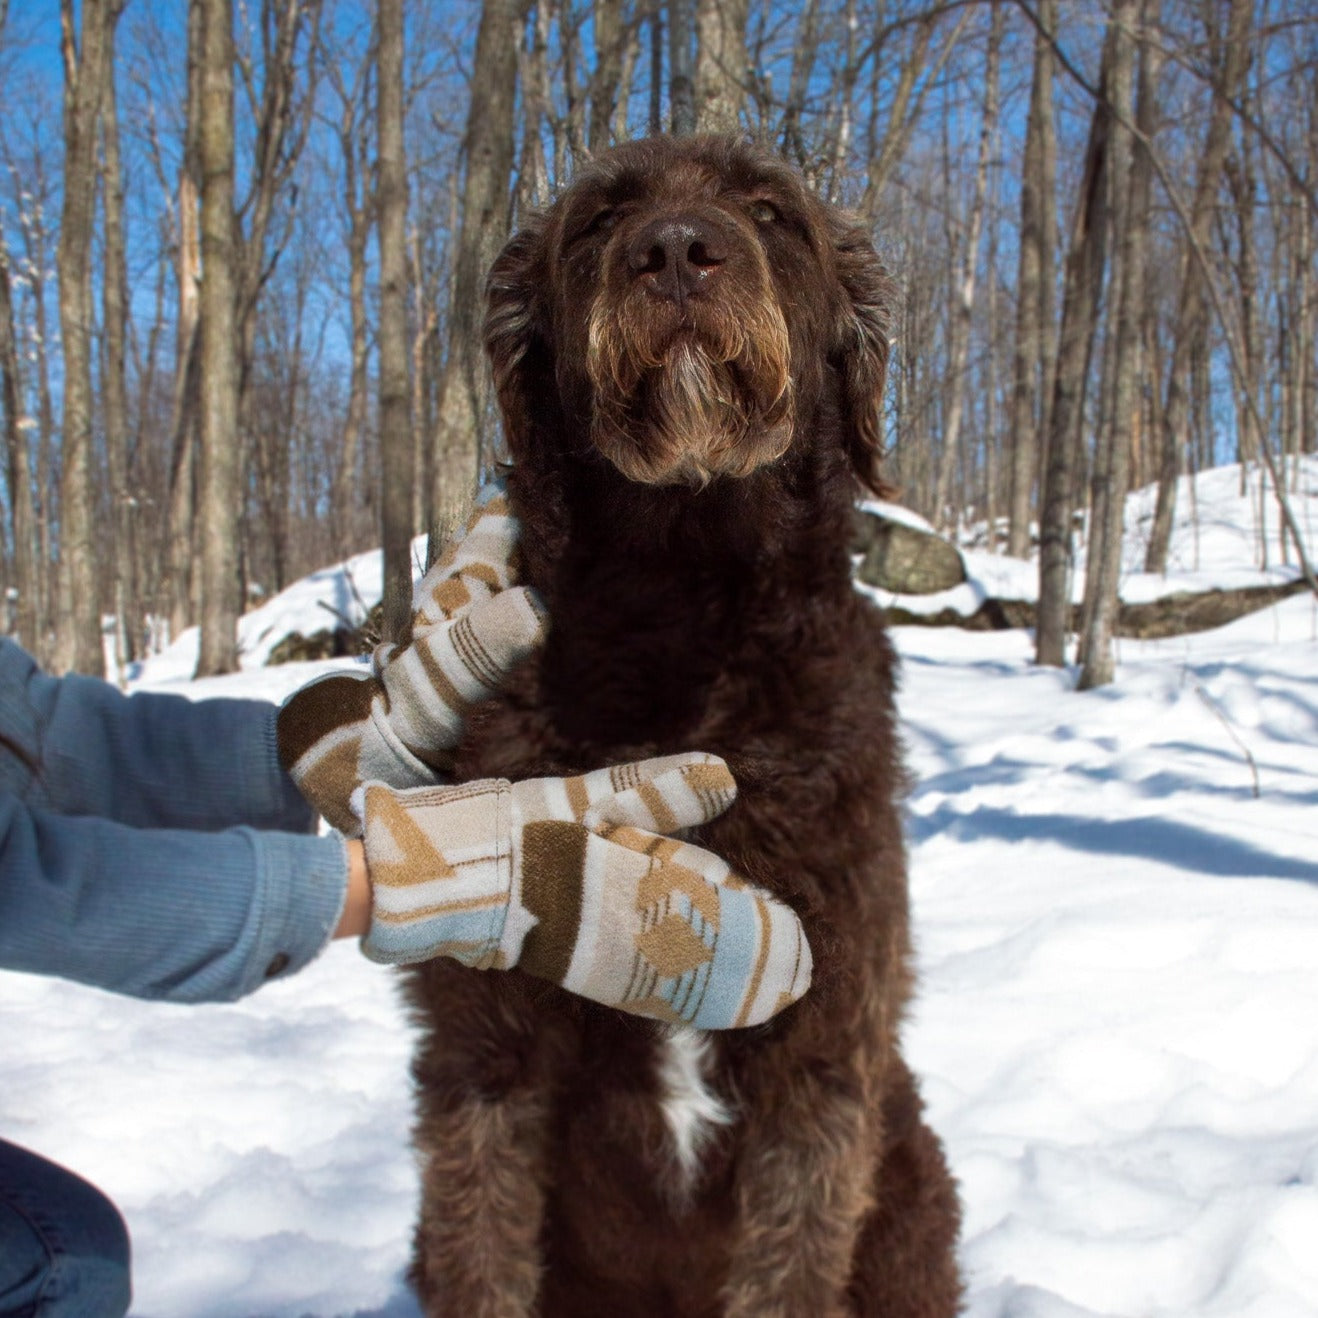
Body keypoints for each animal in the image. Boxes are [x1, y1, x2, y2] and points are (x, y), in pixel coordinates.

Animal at [400, 136, 959, 1318]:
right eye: (601, 219)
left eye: (770, 208)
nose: (674, 251)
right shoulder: (483, 1059)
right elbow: (484, 1243)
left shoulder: (822, 1065)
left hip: (913, 1181)